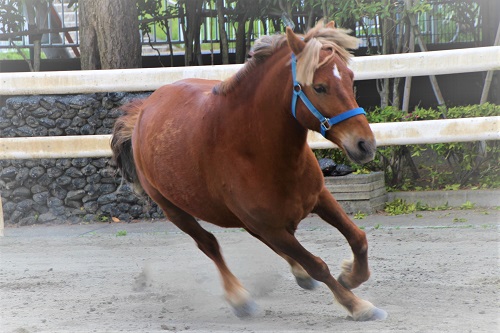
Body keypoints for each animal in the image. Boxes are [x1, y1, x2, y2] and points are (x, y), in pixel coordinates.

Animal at [112, 21, 386, 322]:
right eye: (320, 87)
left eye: (350, 78)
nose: (365, 145)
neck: (259, 151)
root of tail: (142, 111)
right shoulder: (269, 226)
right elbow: (317, 265)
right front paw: (357, 305)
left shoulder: (318, 198)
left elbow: (358, 238)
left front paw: (350, 276)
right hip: (175, 211)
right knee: (209, 244)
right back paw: (239, 298)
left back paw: (297, 275)